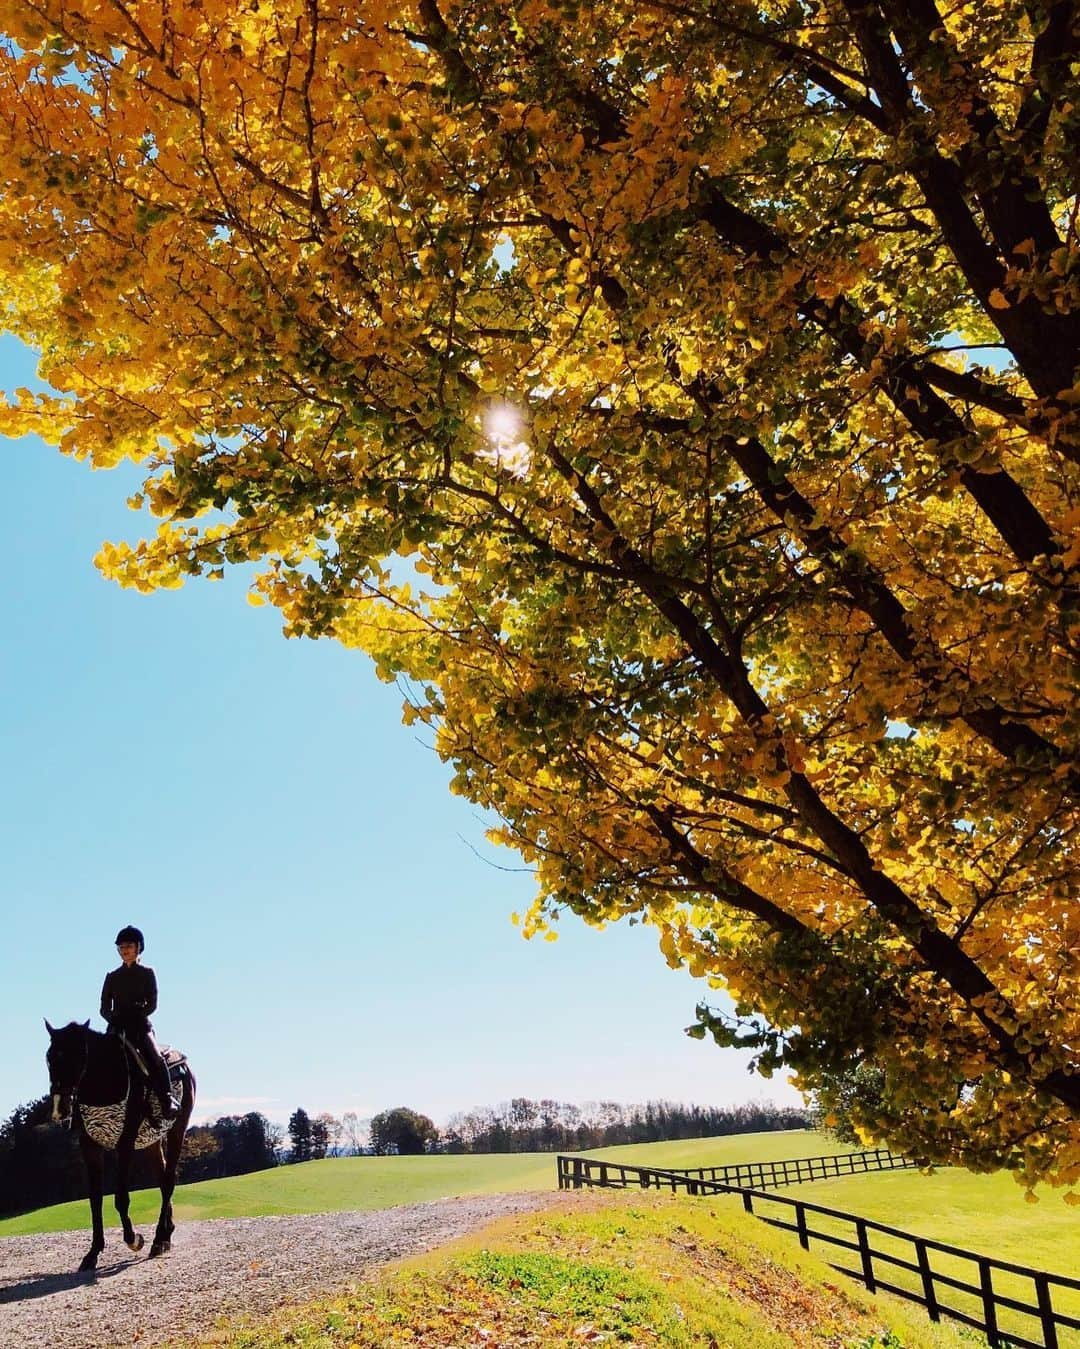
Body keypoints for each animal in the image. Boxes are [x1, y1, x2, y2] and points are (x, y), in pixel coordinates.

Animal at [43, 1014, 195, 1268]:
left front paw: (134, 1239)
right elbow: (95, 1200)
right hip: (152, 1141)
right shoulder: (90, 1146)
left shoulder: (125, 1143)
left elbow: (121, 1198)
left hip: (178, 1128)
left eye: (79, 1056)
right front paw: (93, 1252)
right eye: (49, 1059)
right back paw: (166, 1232)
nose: (59, 1108)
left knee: (168, 1181)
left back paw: (159, 1240)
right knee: (162, 1177)